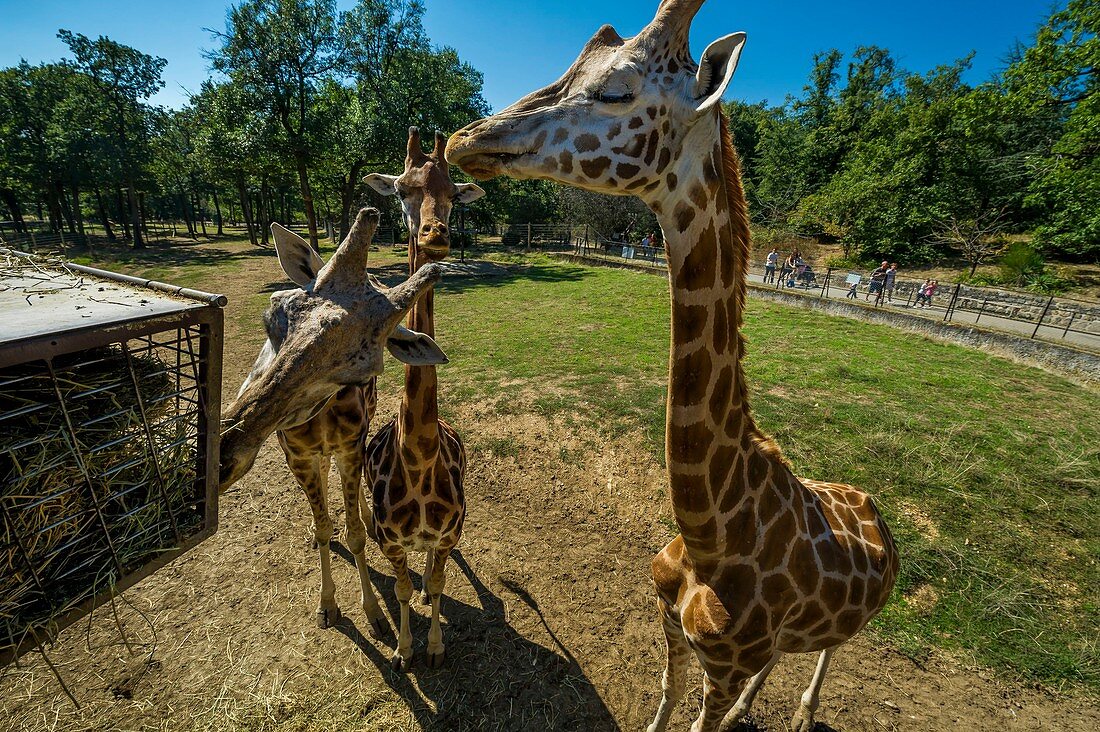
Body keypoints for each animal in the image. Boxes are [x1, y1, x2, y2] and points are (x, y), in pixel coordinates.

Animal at [218, 205, 446, 638]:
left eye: (361, 370)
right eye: (272, 317)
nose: (222, 454)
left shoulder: (351, 448)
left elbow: (355, 535)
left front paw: (373, 613)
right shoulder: (297, 455)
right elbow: (326, 527)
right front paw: (327, 606)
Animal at [446, 2, 902, 726]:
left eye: (617, 89)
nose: (465, 139)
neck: (713, 532)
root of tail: (876, 509)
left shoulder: (724, 662)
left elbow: (698, 714)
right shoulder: (670, 621)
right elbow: (665, 697)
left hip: (855, 619)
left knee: (830, 649)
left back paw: (803, 712)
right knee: (786, 658)